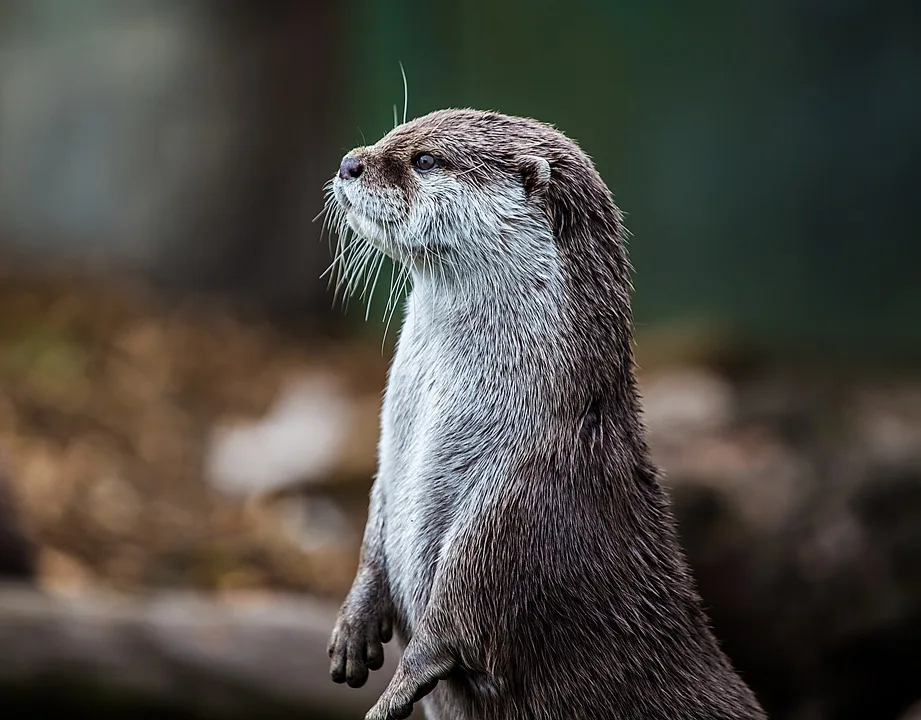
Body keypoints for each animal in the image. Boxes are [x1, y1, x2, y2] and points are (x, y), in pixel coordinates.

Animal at [324, 108, 760, 720]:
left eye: (425, 159)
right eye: (394, 133)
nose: (349, 162)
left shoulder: (518, 496)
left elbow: (455, 619)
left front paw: (394, 694)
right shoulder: (390, 462)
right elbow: (375, 528)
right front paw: (353, 627)